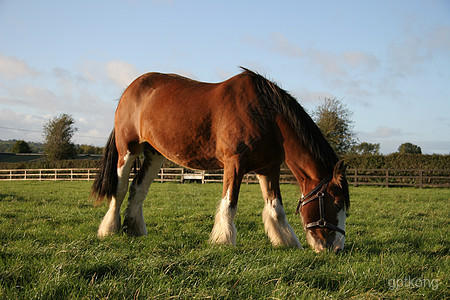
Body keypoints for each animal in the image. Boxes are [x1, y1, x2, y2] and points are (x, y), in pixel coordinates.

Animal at [91, 67, 350, 251]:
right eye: (337, 203)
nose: (336, 248)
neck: (266, 116)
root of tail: (130, 89)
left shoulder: (269, 168)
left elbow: (275, 208)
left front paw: (286, 241)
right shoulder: (234, 164)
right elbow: (230, 203)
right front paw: (224, 240)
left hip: (155, 154)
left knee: (138, 189)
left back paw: (134, 229)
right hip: (128, 150)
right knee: (120, 189)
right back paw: (109, 229)